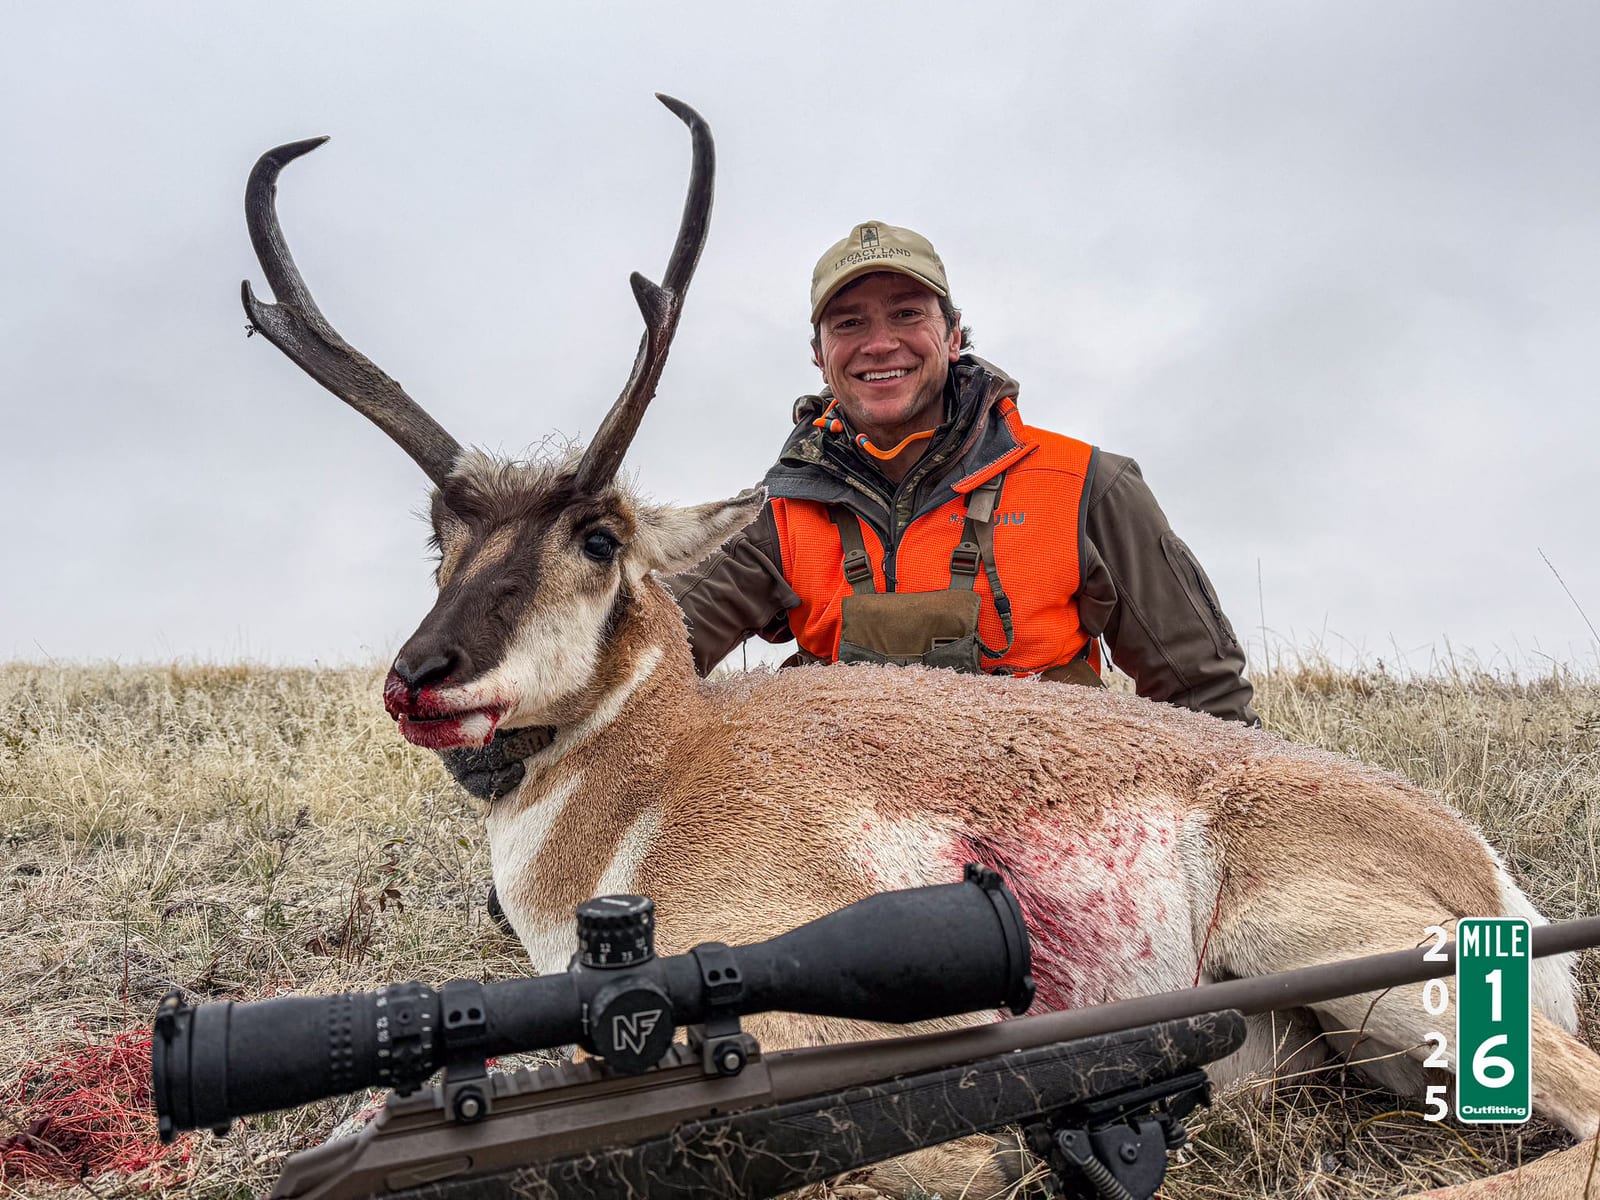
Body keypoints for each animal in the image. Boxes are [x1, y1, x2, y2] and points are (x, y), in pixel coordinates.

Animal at [242, 96, 1599, 1198]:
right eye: (441, 536)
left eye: (598, 534)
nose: (418, 681)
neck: (663, 773)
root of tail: (1475, 859)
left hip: (1340, 958)